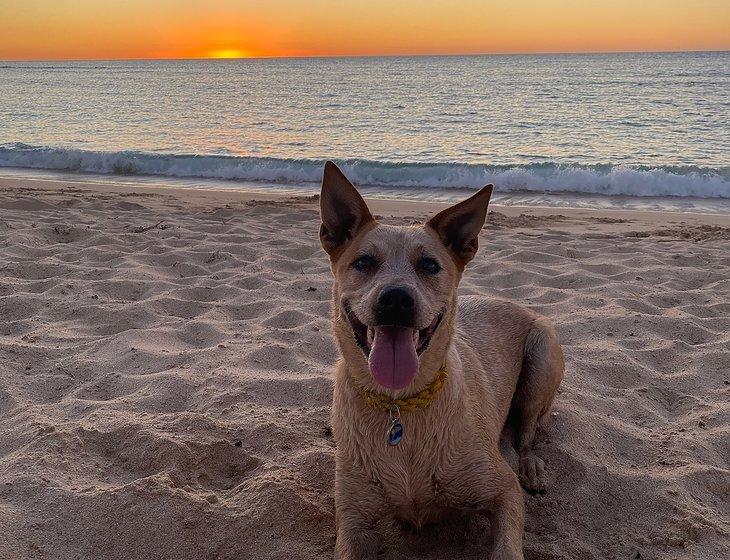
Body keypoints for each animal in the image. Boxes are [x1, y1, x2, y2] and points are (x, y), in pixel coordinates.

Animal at [318, 160, 564, 556]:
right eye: (364, 262)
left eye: (430, 265)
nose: (397, 298)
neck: (400, 405)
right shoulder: (354, 518)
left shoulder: (502, 489)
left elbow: (507, 546)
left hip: (542, 351)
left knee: (527, 431)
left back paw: (530, 464)